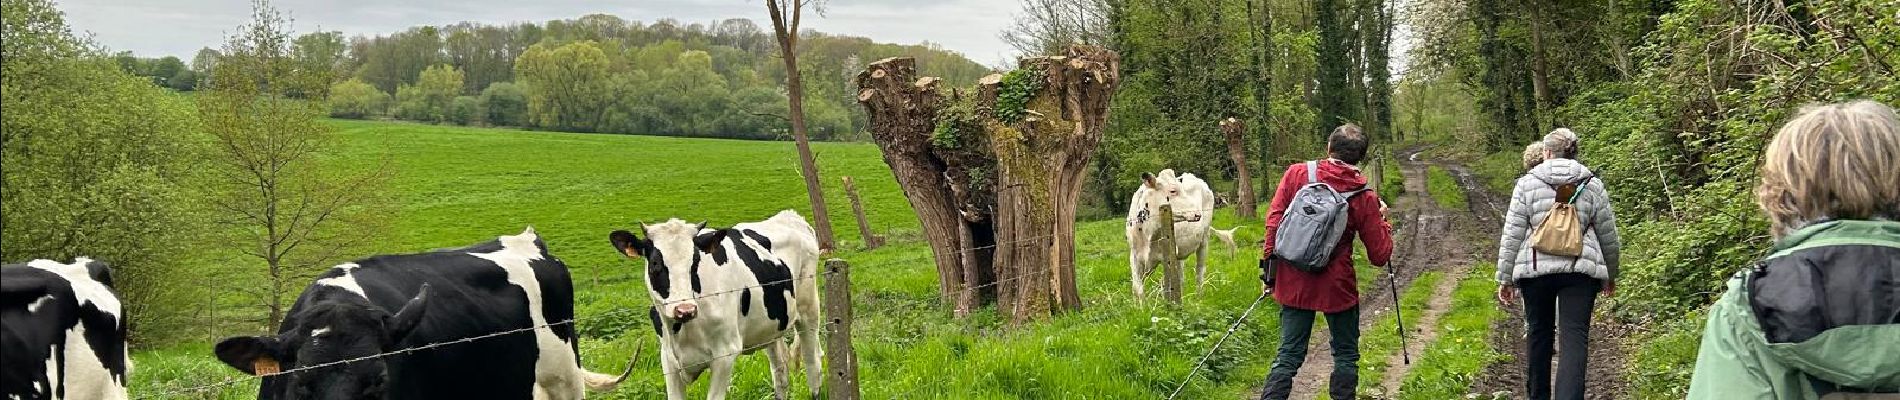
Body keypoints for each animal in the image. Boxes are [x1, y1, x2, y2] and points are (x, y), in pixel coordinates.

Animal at [608, 209, 817, 400]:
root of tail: (790, 215)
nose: (685, 310)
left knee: (813, 363)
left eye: (695, 262)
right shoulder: (668, 358)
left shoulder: (725, 355)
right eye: (654, 264)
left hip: (809, 310)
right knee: (780, 371)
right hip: (770, 328)